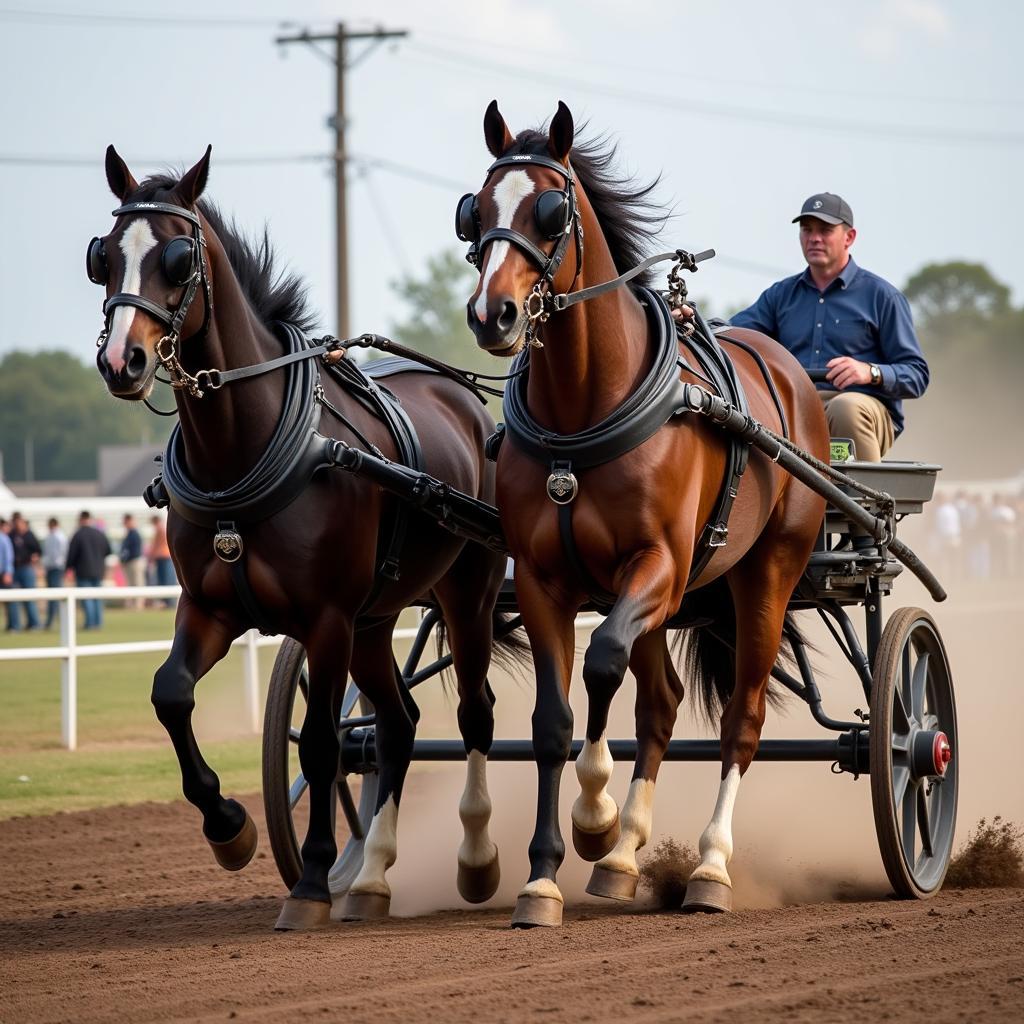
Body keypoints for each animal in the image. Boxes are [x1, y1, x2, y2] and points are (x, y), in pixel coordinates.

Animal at [88, 148, 520, 933]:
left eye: (176, 256)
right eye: (103, 256)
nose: (120, 362)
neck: (245, 451)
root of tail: (473, 406)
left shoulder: (325, 620)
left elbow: (318, 743)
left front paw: (313, 879)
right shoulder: (210, 607)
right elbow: (171, 694)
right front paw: (230, 827)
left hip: (465, 595)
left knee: (472, 713)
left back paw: (474, 862)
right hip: (376, 622)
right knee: (395, 727)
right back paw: (373, 876)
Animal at [464, 103, 831, 929]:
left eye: (551, 209)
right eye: (476, 208)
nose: (492, 313)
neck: (582, 415)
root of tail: (786, 367)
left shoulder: (656, 565)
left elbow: (601, 665)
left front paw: (594, 813)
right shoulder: (545, 582)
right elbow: (553, 722)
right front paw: (544, 878)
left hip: (764, 572)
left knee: (740, 720)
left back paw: (710, 868)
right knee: (660, 706)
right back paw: (624, 861)